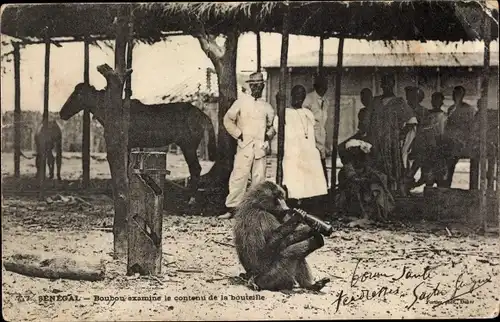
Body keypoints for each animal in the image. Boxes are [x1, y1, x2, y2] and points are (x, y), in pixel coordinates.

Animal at [59, 83, 217, 204]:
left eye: (78, 94)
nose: (62, 113)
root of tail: (203, 115)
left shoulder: (127, 146)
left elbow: (126, 167)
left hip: (188, 146)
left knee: (195, 169)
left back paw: (191, 199)